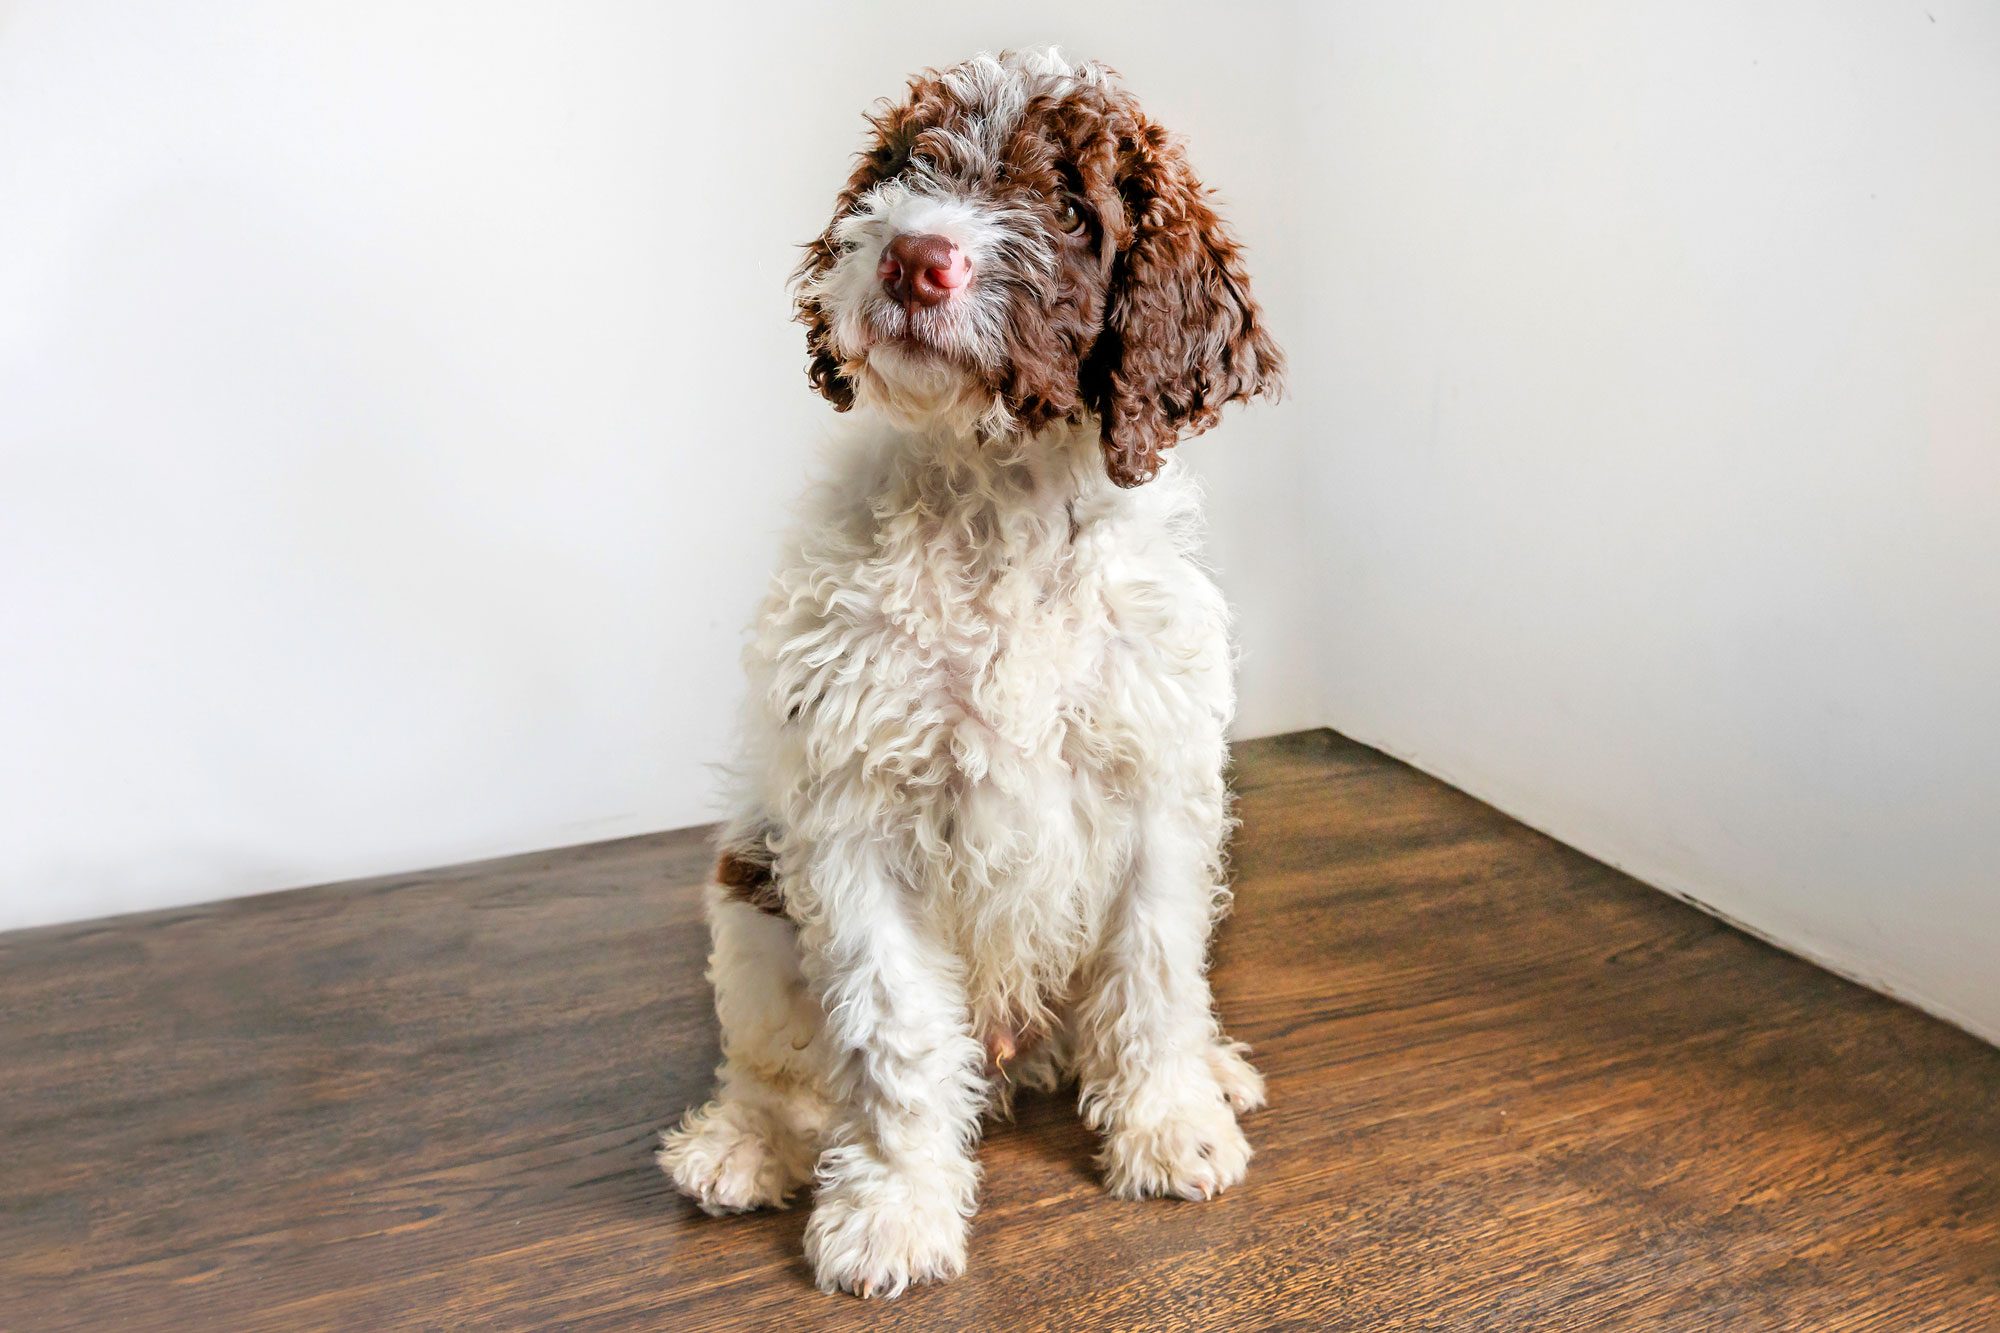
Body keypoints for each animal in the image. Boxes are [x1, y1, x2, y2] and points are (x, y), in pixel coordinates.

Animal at [656, 46, 1280, 1288]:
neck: (1002, 507)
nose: (911, 255)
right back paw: (743, 1142)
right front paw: (894, 1207)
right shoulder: (852, 816)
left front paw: (1167, 1124)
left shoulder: (1158, 786)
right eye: (908, 166)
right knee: (776, 1064)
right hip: (749, 906)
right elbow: (893, 1031)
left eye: (1074, 213)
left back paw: (1211, 1068)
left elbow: (1152, 972)